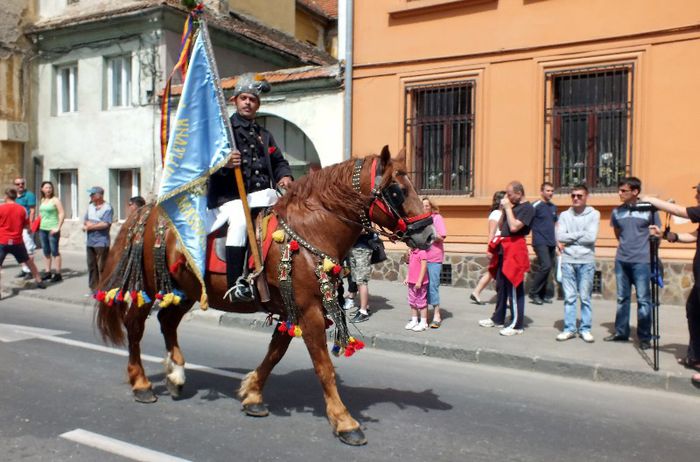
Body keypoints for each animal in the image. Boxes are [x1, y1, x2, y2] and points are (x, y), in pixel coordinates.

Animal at [93, 146, 432, 446]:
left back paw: (176, 375)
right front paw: (345, 422)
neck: (312, 229)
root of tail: (148, 211)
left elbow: (275, 353)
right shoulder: (308, 311)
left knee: (167, 321)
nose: (428, 234)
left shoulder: (293, 309)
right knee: (136, 327)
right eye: (398, 191)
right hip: (151, 288)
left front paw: (252, 395)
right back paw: (141, 384)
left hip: (188, 290)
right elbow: (324, 368)